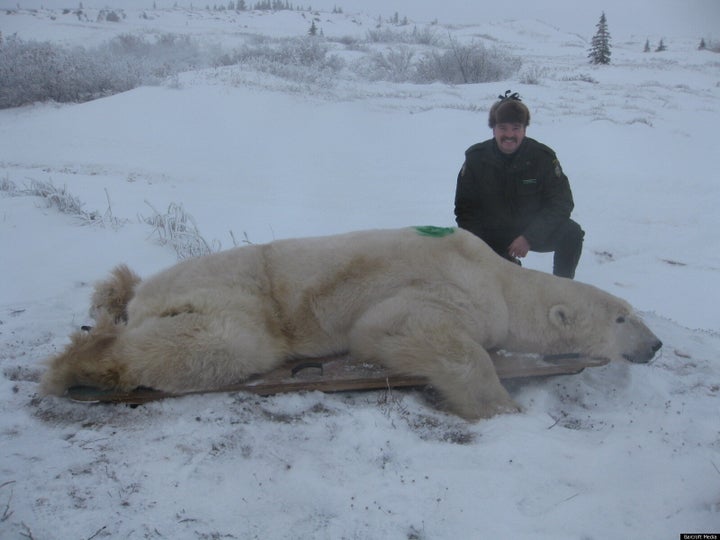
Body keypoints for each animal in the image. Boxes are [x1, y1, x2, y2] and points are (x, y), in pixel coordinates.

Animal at [42, 226, 664, 420]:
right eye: (622, 316)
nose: (656, 345)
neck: (501, 282)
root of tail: (144, 293)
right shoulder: (446, 287)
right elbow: (396, 329)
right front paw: (499, 405)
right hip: (230, 295)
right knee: (227, 345)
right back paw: (78, 367)